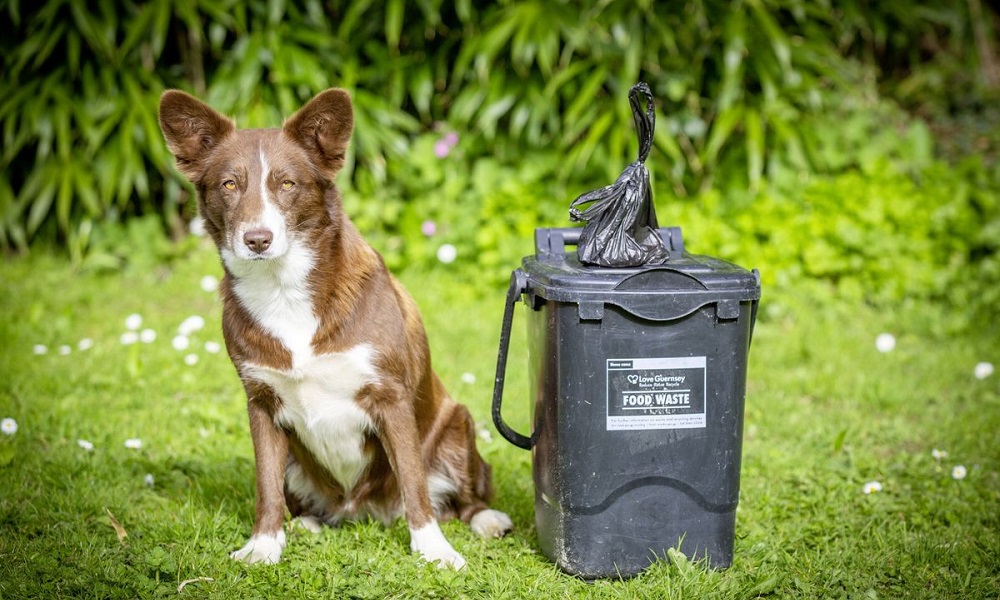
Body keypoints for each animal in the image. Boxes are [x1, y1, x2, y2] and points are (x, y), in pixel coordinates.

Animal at [162, 88, 516, 568]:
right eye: (229, 184)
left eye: (287, 184)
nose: (258, 239)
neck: (284, 289)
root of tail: (364, 511)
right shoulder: (261, 403)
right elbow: (266, 485)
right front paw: (264, 545)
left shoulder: (390, 398)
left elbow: (415, 483)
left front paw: (434, 550)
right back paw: (306, 523)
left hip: (458, 425)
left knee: (461, 499)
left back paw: (487, 520)